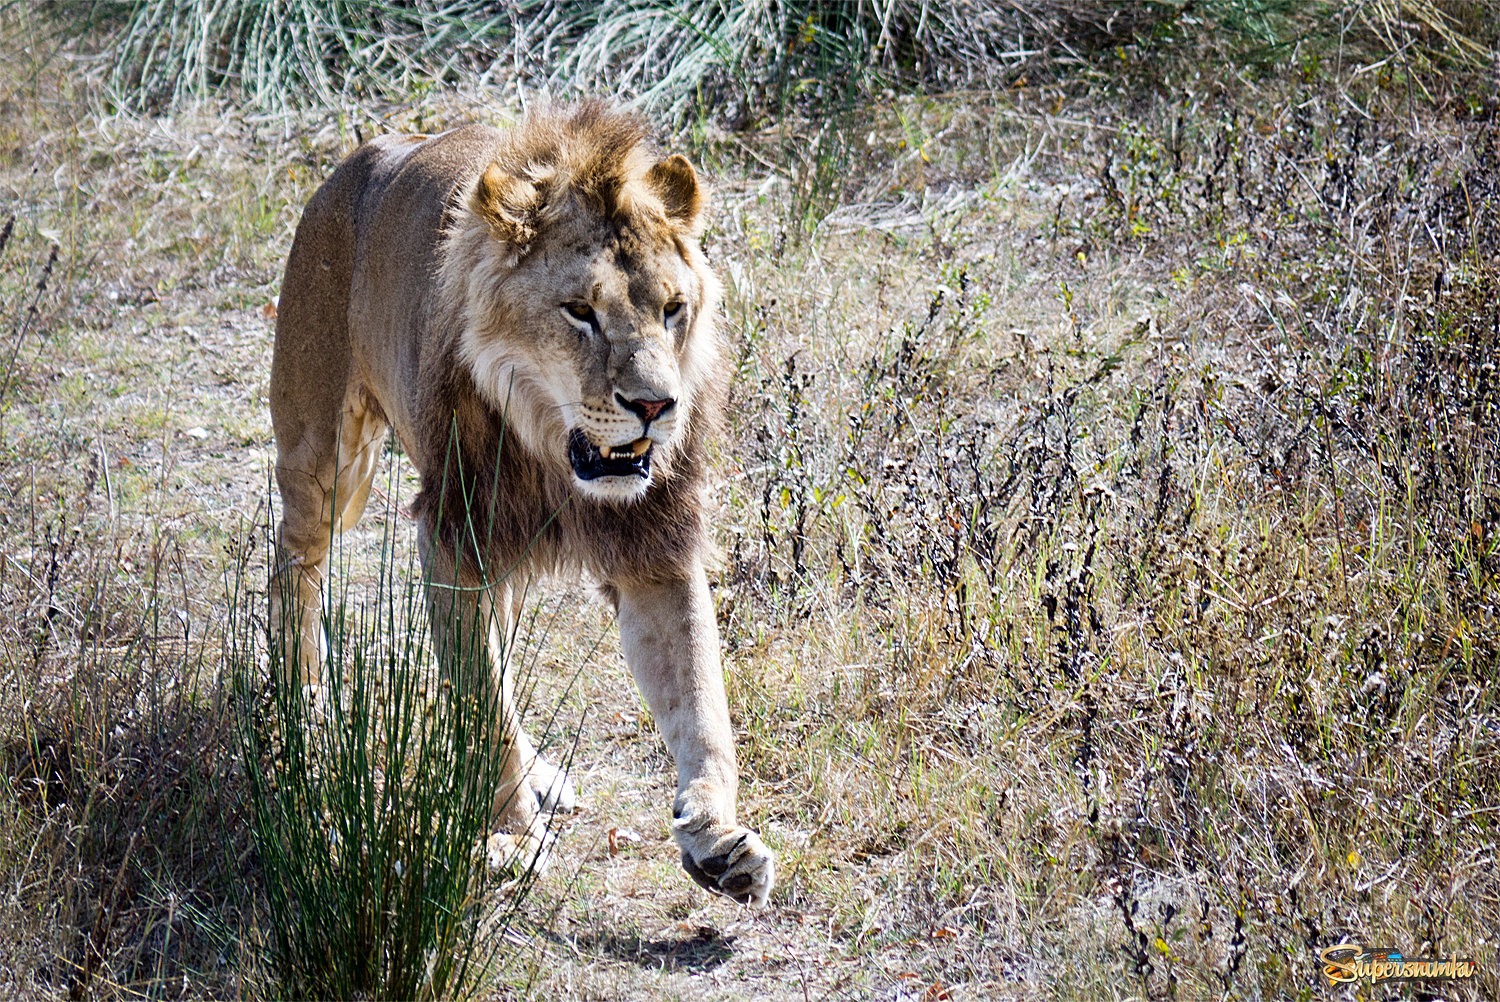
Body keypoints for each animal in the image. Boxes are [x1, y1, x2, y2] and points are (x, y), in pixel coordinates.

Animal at [270, 103, 780, 906]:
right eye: (580, 312)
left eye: (672, 309)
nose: (655, 406)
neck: (552, 453)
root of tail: (367, 150)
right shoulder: (452, 538)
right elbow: (482, 705)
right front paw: (509, 837)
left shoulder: (655, 548)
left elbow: (702, 703)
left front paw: (717, 836)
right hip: (322, 453)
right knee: (292, 568)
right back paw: (302, 715)